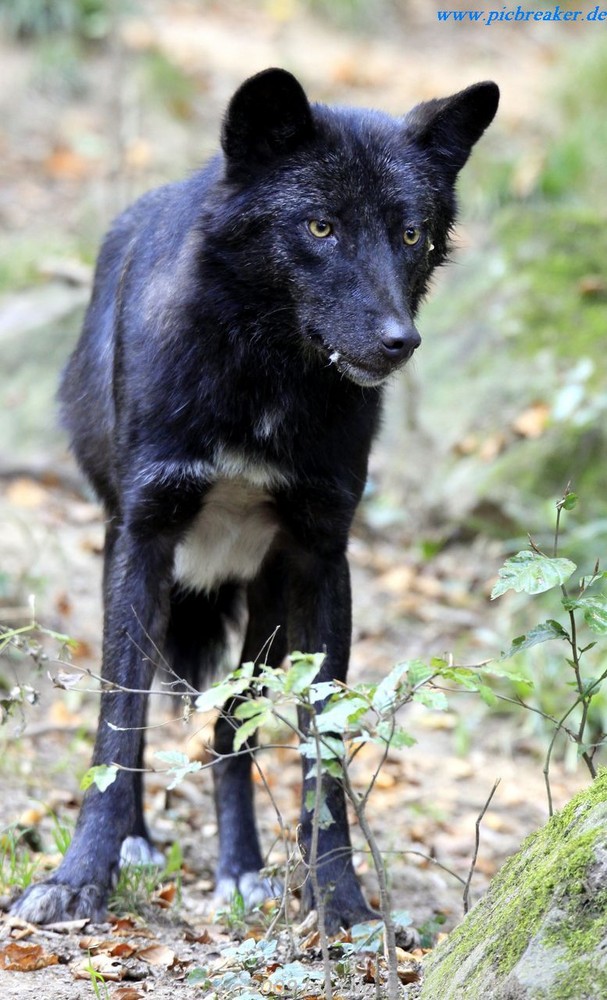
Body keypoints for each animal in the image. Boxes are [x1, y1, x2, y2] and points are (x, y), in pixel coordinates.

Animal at [13, 68, 498, 928]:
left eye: (410, 235)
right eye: (319, 226)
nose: (398, 341)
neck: (265, 377)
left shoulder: (319, 559)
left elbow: (321, 753)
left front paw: (340, 901)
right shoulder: (144, 537)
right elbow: (117, 722)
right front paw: (80, 877)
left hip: (266, 610)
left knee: (226, 729)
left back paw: (240, 868)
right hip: (137, 565)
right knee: (150, 709)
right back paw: (142, 842)